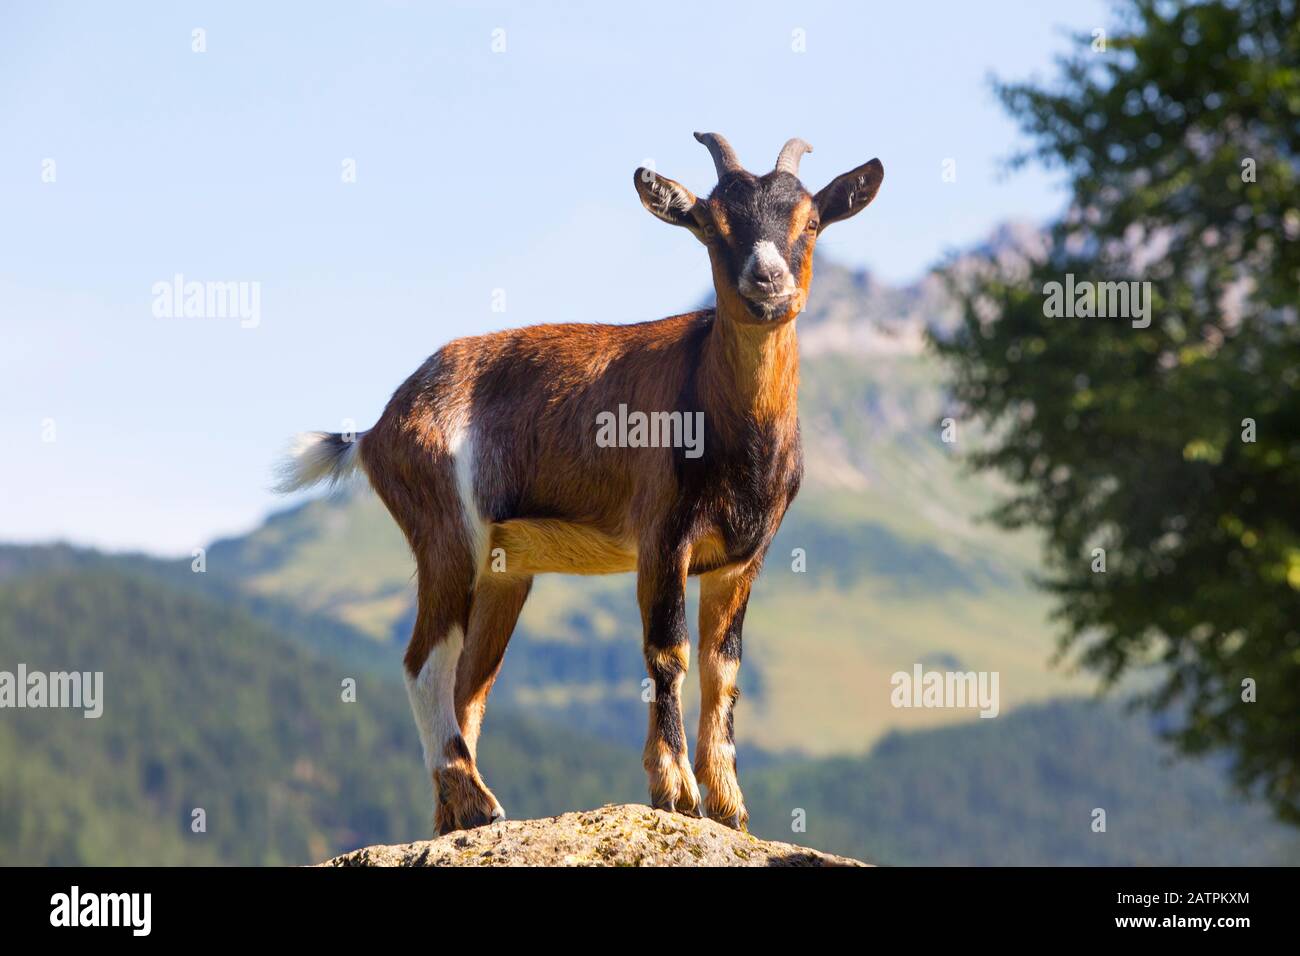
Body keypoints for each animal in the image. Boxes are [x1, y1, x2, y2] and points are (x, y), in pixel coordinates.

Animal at [276, 130, 883, 832]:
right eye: (710, 224)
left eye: (811, 221)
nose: (767, 283)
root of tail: (377, 429)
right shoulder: (662, 538)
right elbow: (668, 653)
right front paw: (676, 791)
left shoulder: (741, 558)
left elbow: (723, 667)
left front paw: (729, 806)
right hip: (446, 532)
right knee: (425, 662)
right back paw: (480, 803)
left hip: (504, 570)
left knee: (469, 682)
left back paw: (457, 817)